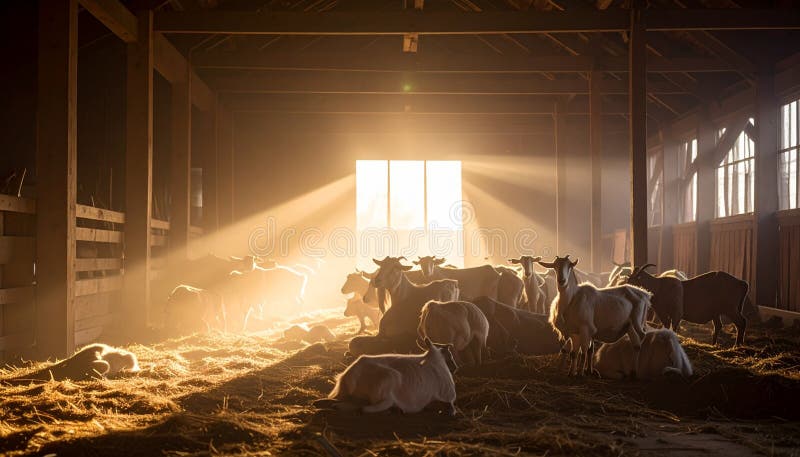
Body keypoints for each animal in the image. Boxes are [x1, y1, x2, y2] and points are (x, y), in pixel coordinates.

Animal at [320, 338, 458, 415]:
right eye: (450, 355)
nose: (456, 367)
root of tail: (349, 377)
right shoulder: (448, 398)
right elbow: (451, 410)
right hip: (389, 379)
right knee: (367, 408)